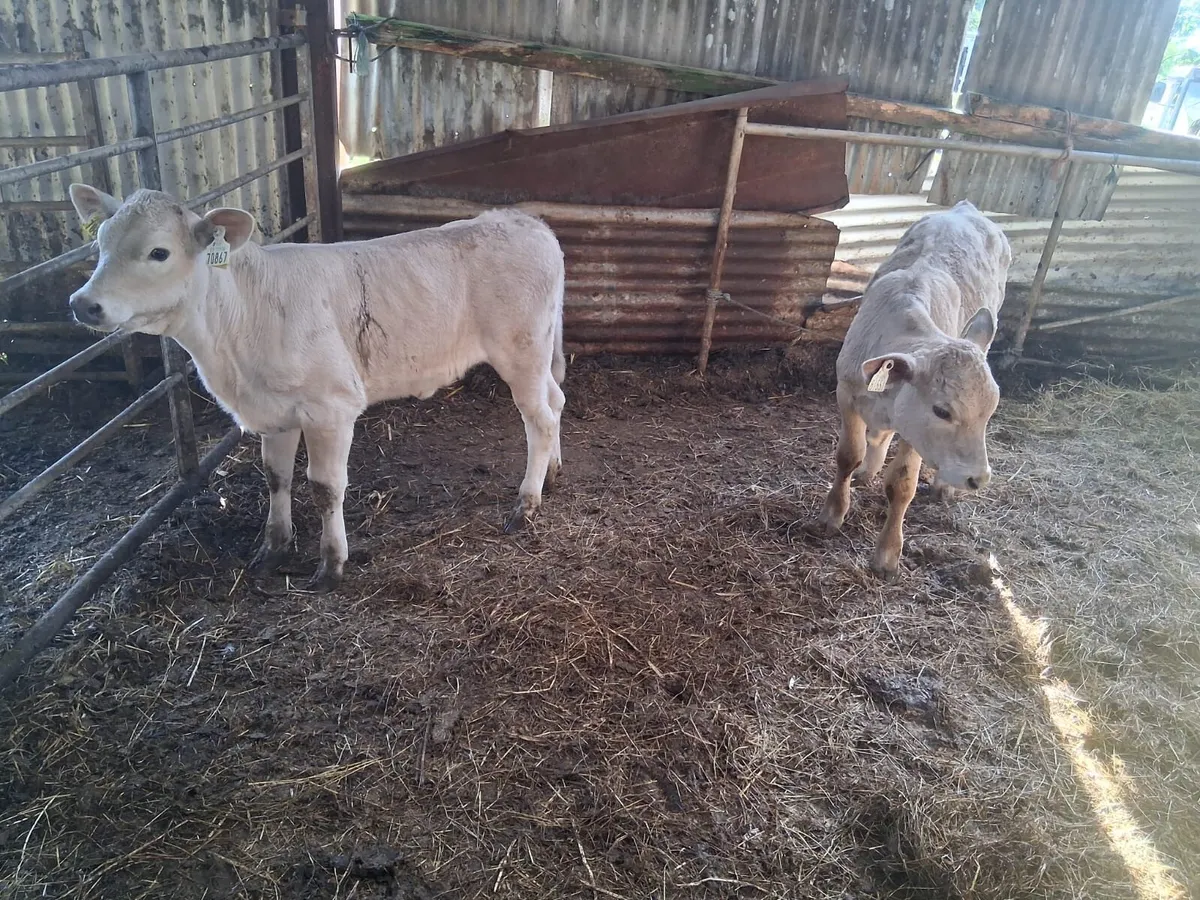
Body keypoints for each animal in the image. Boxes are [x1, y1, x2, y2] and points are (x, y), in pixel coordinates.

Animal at [67, 183, 566, 592]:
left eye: (159, 252)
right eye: (99, 243)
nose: (82, 303)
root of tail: (526, 222)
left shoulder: (332, 408)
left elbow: (325, 487)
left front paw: (331, 564)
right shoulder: (274, 412)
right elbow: (276, 478)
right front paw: (272, 548)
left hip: (520, 349)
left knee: (539, 419)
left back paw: (526, 503)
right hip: (538, 351)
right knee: (556, 400)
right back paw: (553, 471)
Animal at [809, 199, 1011, 578]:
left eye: (990, 411)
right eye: (942, 410)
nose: (979, 478)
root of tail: (966, 208)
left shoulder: (915, 435)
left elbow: (903, 484)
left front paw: (888, 554)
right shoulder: (846, 393)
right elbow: (848, 455)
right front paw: (832, 514)